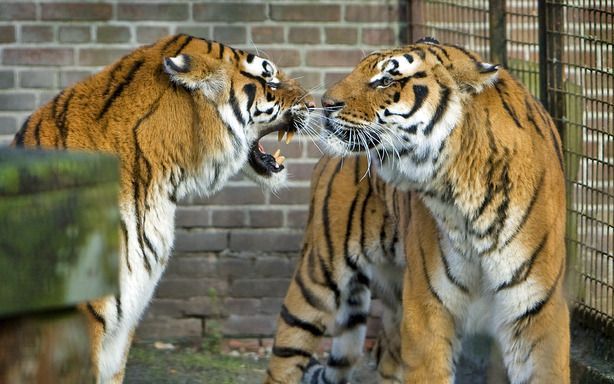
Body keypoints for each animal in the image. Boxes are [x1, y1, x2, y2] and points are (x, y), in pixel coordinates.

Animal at [268, 38, 572, 384]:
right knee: (284, 358)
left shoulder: (538, 312)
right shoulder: (427, 306)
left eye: (386, 80)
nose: (324, 102)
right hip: (318, 274)